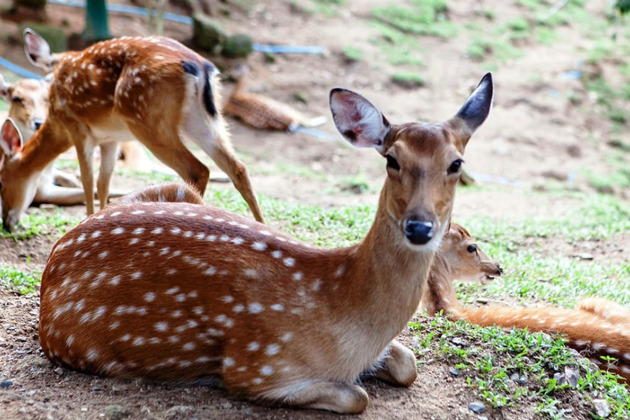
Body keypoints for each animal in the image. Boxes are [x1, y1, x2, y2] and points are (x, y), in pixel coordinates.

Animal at [37, 73, 496, 414]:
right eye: (392, 159)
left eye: (456, 163)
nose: (419, 227)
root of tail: (55, 257)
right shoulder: (255, 366)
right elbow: (357, 396)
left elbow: (408, 364)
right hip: (80, 346)